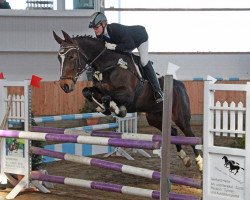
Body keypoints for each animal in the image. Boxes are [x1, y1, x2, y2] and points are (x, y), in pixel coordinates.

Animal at [52, 30, 203, 171]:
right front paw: (103, 107)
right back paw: (185, 158)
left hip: (180, 117)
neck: (108, 64)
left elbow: (108, 97)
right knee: (173, 132)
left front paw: (117, 109)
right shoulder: (99, 89)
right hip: (154, 117)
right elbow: (88, 91)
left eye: (72, 56)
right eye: (59, 58)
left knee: (190, 135)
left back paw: (199, 162)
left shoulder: (128, 95)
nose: (65, 85)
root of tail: (180, 85)